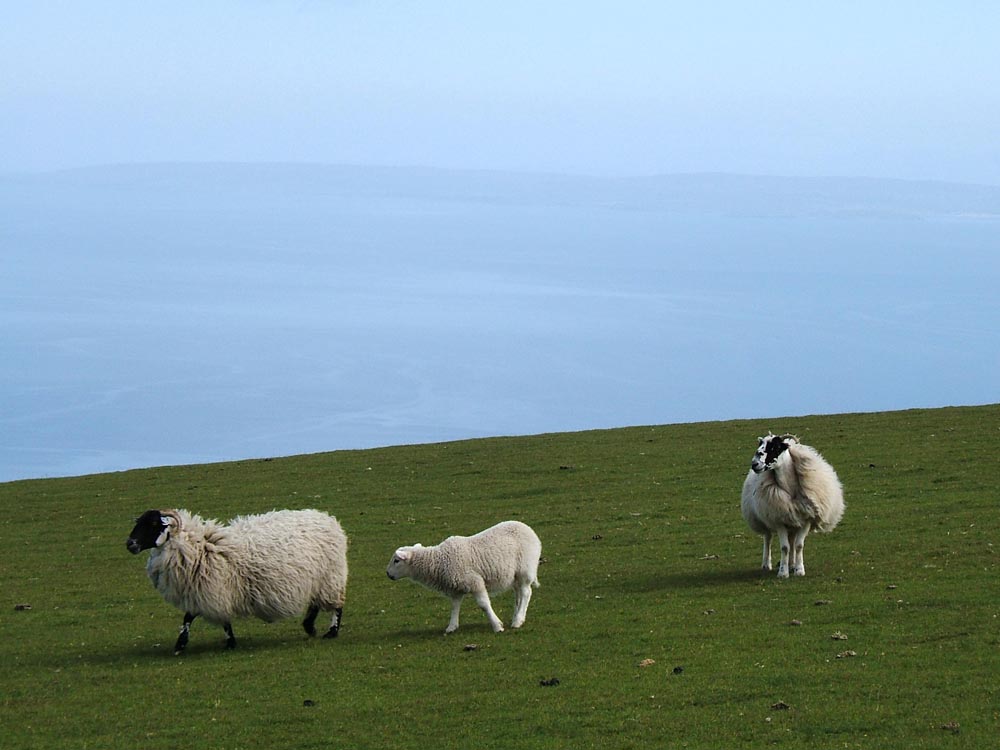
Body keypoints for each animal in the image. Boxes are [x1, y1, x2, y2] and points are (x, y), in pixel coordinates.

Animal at [125, 508, 348, 656]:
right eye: (139, 521)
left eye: (154, 524)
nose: (130, 544)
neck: (197, 547)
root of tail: (328, 519)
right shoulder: (204, 591)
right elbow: (192, 617)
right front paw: (183, 644)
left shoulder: (214, 590)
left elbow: (194, 618)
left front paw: (185, 644)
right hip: (318, 580)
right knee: (315, 604)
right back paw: (309, 627)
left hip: (331, 576)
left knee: (336, 606)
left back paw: (331, 631)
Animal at [386, 524, 544, 636]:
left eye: (396, 561)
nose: (388, 574)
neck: (438, 560)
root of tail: (528, 529)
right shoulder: (455, 587)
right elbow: (455, 607)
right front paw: (451, 627)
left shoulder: (475, 582)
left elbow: (484, 605)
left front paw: (497, 626)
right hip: (515, 575)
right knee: (518, 594)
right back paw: (517, 616)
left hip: (525, 568)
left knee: (526, 593)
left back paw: (517, 620)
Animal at [744, 434, 844, 580]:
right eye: (760, 445)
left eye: (775, 446)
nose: (754, 464)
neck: (790, 488)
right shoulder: (778, 520)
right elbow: (785, 547)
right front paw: (783, 572)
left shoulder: (806, 519)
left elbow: (798, 545)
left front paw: (799, 570)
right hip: (765, 517)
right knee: (768, 538)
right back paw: (766, 564)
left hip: (792, 522)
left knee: (792, 541)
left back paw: (792, 564)